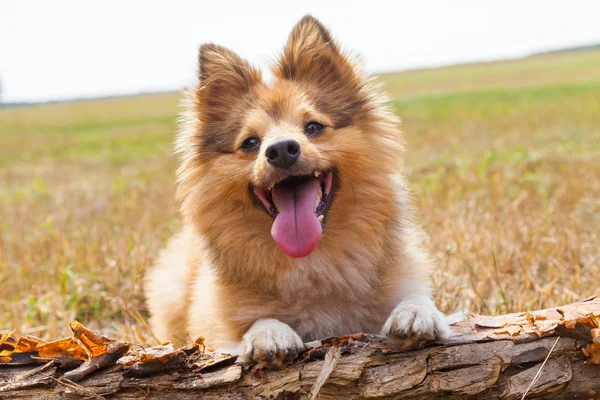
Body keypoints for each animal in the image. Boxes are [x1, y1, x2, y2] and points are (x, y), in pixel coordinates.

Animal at [143, 14, 448, 366]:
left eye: (313, 127)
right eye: (251, 143)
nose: (281, 150)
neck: (313, 260)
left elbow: (416, 298)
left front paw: (417, 314)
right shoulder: (217, 331)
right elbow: (250, 325)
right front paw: (268, 334)